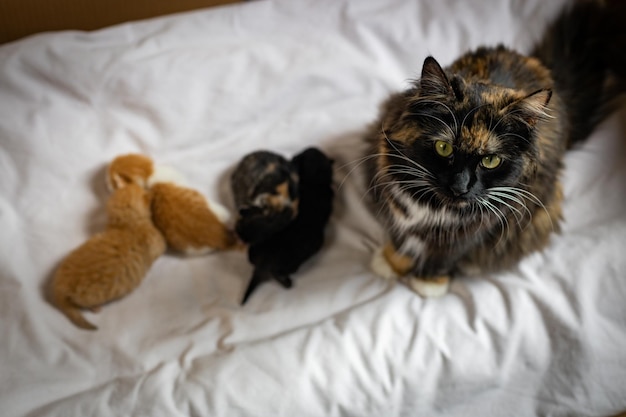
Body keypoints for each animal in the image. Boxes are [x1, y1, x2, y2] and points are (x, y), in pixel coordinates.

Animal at [50, 184, 166, 330]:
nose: (145, 187)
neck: (127, 224)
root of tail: (59, 285)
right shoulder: (157, 244)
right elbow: (161, 247)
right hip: (88, 297)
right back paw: (95, 308)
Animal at [241, 148, 334, 304]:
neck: (312, 179)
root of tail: (264, 262)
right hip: (299, 257)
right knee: (276, 273)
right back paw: (287, 282)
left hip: (255, 249)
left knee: (251, 259)